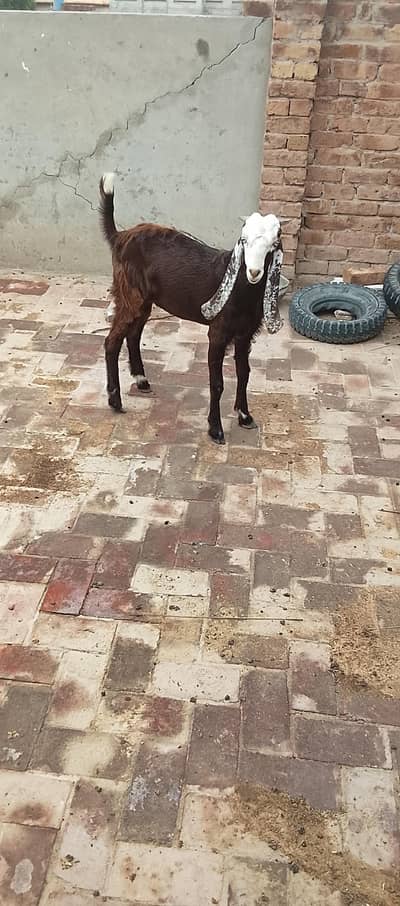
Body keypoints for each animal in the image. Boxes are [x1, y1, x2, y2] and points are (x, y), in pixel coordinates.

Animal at [100, 173, 283, 444]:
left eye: (273, 245)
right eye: (244, 241)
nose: (254, 272)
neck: (241, 289)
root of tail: (119, 236)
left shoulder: (246, 332)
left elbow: (244, 372)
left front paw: (245, 416)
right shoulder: (218, 331)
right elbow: (217, 383)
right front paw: (215, 429)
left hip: (144, 300)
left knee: (133, 334)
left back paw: (141, 380)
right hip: (129, 293)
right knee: (112, 341)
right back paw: (115, 400)